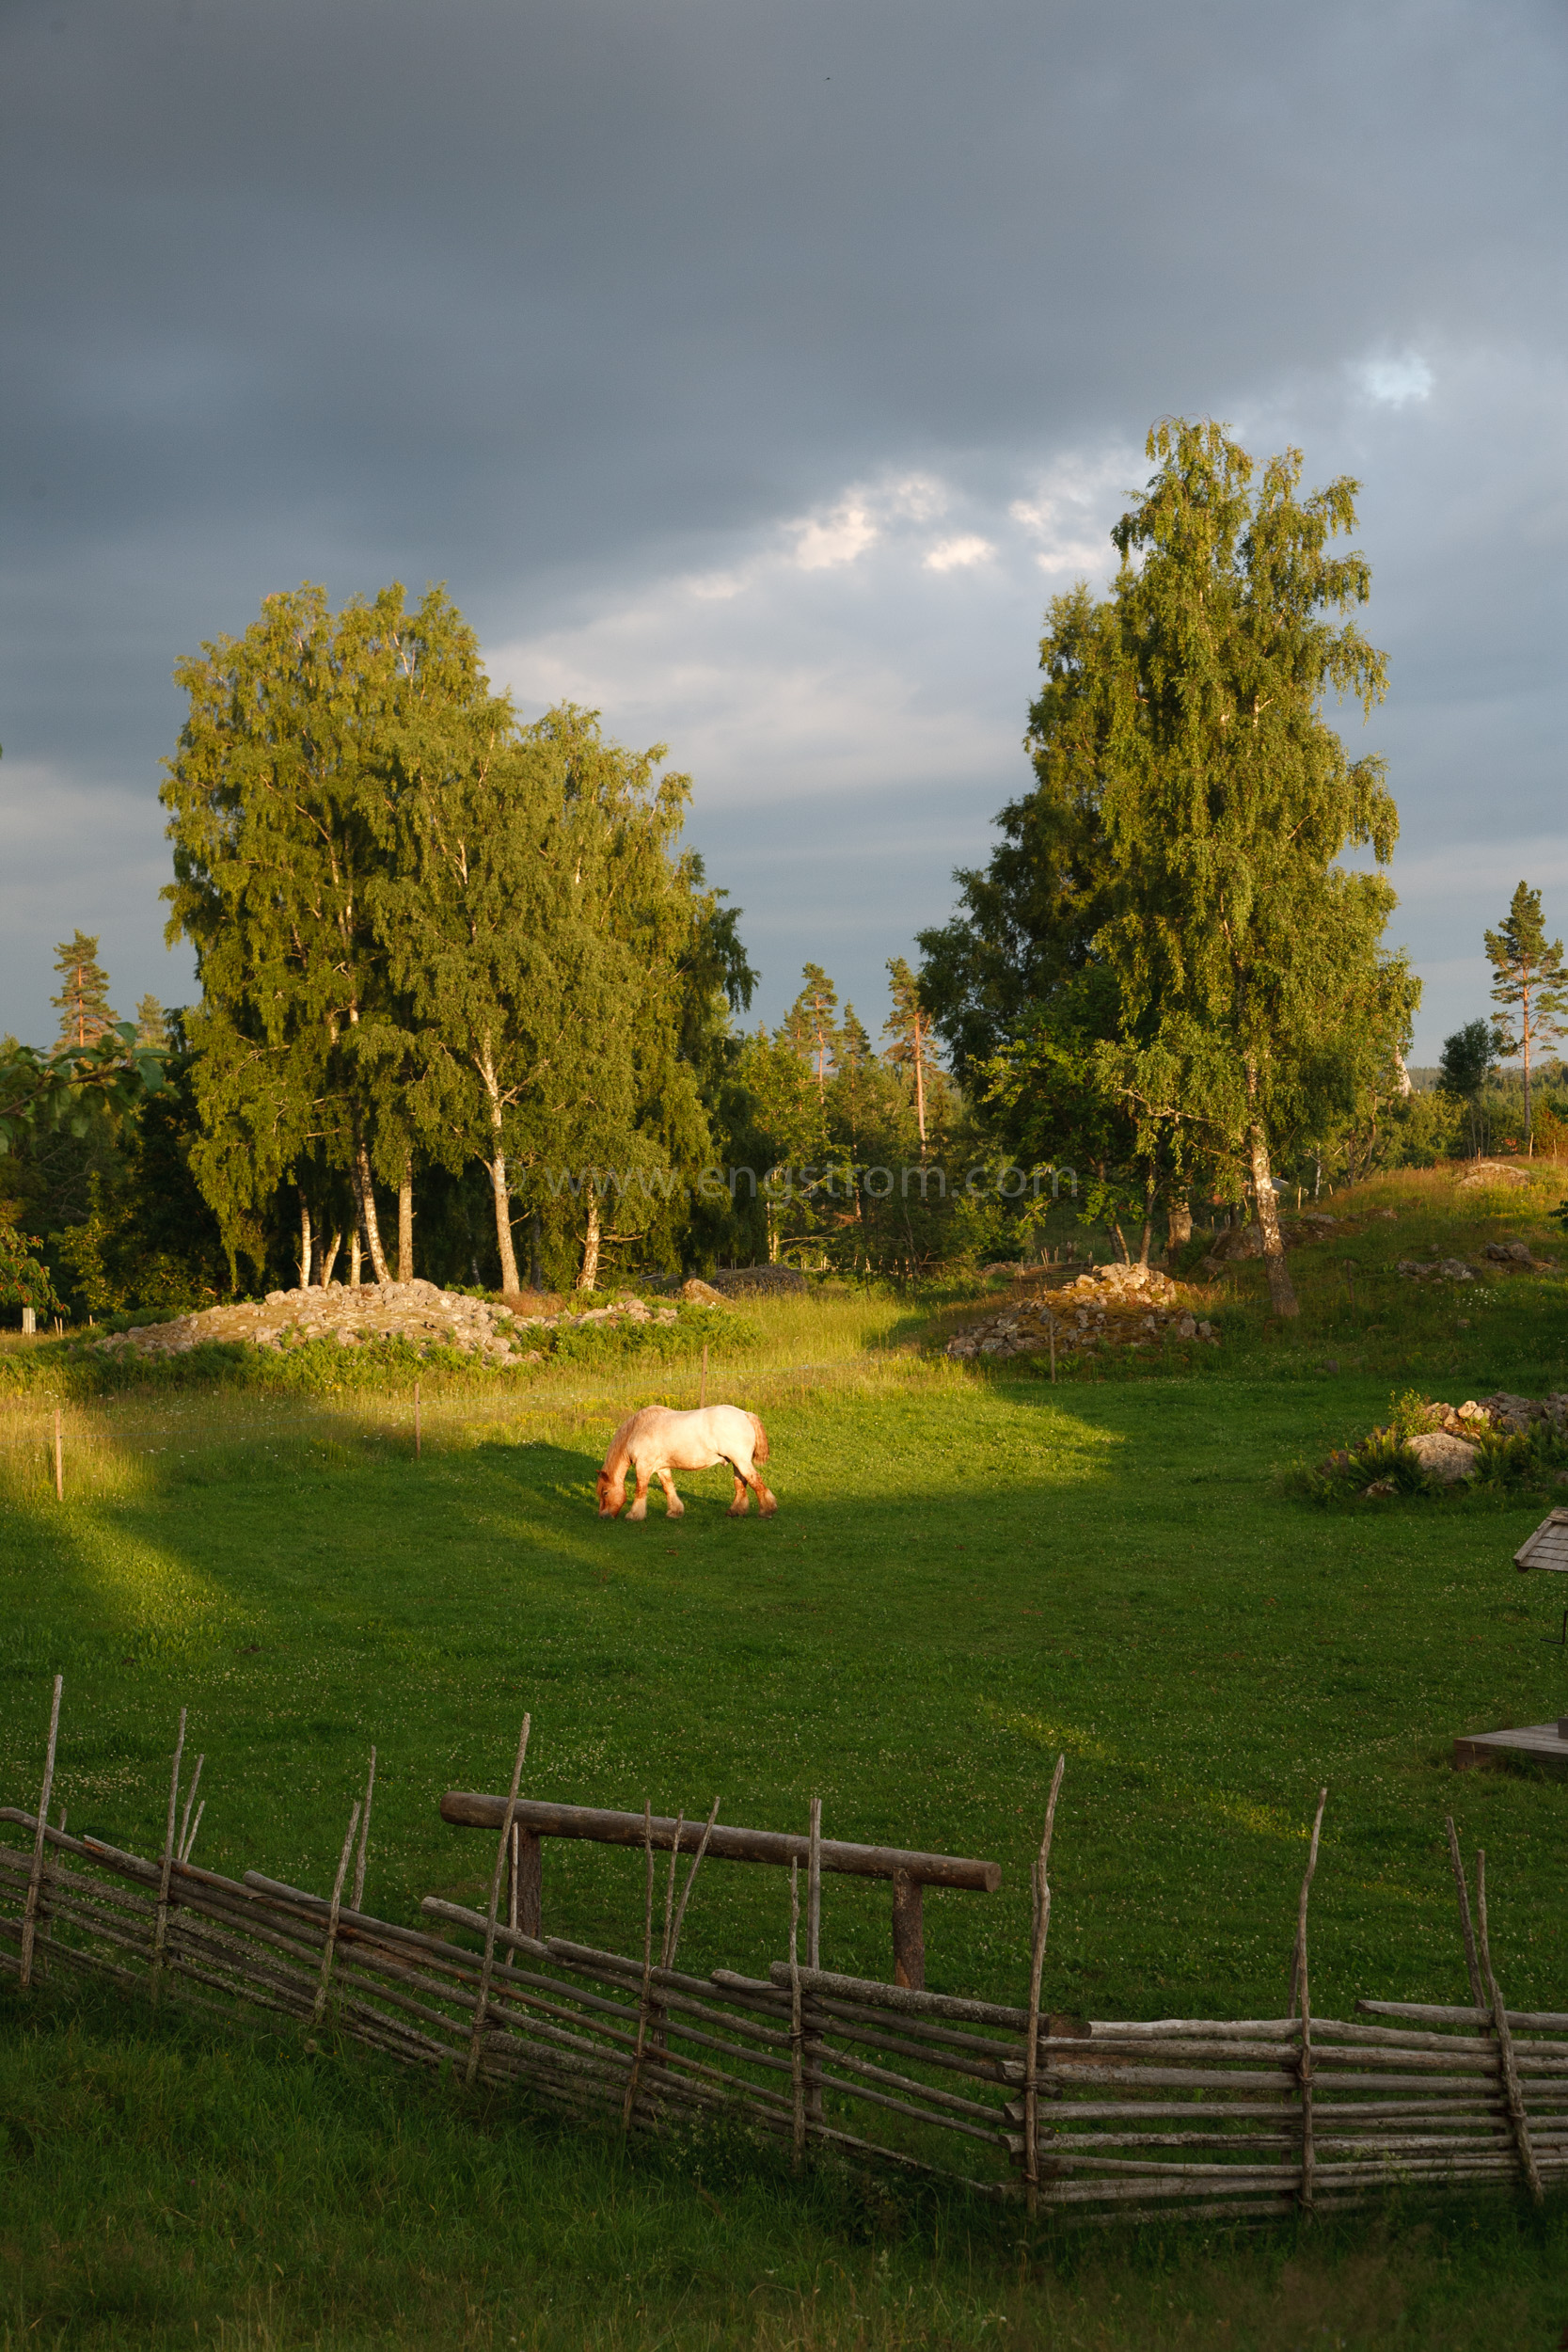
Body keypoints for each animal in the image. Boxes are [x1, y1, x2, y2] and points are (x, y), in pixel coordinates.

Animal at [594, 1392, 780, 1524]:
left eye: (605, 1492)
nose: (603, 1516)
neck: (637, 1430)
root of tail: (745, 1414)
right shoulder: (662, 1469)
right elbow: (668, 1488)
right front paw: (674, 1512)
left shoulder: (643, 1467)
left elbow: (640, 1490)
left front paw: (634, 1515)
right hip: (737, 1463)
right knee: (741, 1484)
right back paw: (735, 1511)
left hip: (741, 1461)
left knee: (756, 1481)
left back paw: (766, 1511)